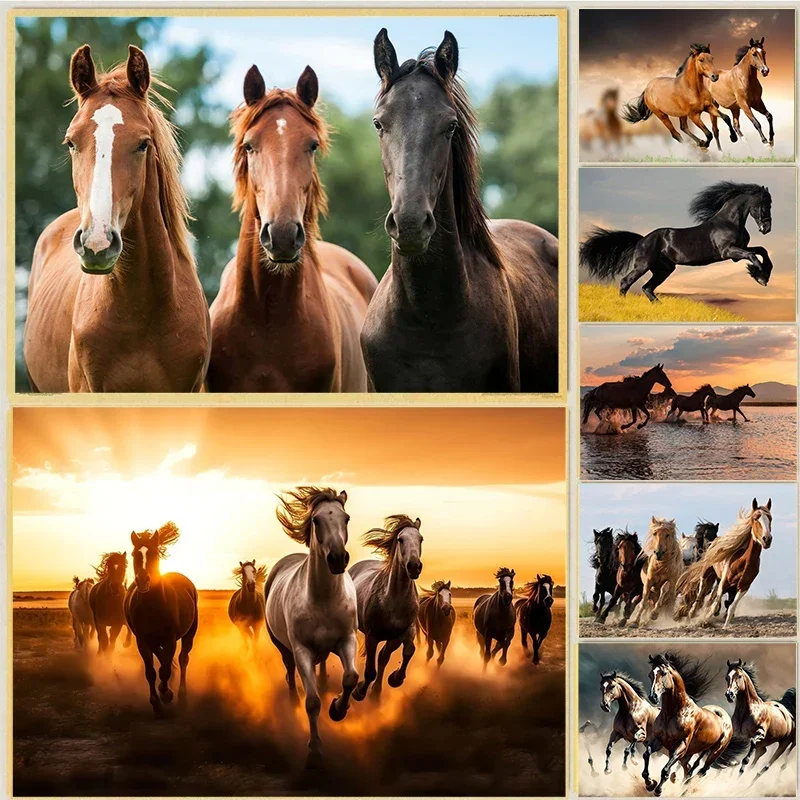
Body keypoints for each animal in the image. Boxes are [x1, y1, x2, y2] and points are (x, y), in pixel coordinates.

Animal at [124, 522, 198, 713]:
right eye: (135, 554)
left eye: (154, 553)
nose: (143, 580)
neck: (152, 606)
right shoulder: (142, 640)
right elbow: (151, 671)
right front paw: (156, 702)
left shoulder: (170, 639)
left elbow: (164, 669)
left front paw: (166, 694)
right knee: (163, 657)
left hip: (189, 635)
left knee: (183, 659)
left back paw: (182, 696)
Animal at [264, 487, 358, 767]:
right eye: (316, 520)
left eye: (346, 518)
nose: (337, 559)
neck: (323, 597)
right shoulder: (302, 649)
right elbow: (313, 702)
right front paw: (315, 749)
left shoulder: (347, 640)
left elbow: (350, 678)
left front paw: (338, 709)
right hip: (283, 646)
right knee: (290, 671)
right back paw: (292, 700)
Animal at [350, 514, 423, 699]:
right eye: (400, 539)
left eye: (421, 539)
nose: (414, 566)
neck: (393, 599)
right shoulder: (372, 636)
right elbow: (370, 670)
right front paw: (359, 691)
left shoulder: (402, 633)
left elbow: (408, 651)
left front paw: (396, 678)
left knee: (383, 658)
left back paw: (377, 691)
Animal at [580, 182, 773, 302]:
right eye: (764, 204)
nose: (767, 228)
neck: (729, 221)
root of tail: (642, 239)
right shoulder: (729, 252)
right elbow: (753, 256)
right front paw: (760, 276)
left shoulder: (738, 250)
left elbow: (762, 250)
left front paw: (762, 274)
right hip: (643, 265)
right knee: (626, 282)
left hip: (664, 269)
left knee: (647, 288)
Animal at [643, 652, 742, 795]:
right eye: (650, 674)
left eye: (664, 673)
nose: (653, 697)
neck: (673, 713)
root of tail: (726, 718)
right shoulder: (658, 740)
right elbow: (646, 755)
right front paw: (650, 783)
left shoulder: (681, 746)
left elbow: (666, 769)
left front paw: (658, 790)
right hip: (694, 753)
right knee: (689, 769)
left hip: (714, 752)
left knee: (702, 771)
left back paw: (685, 791)